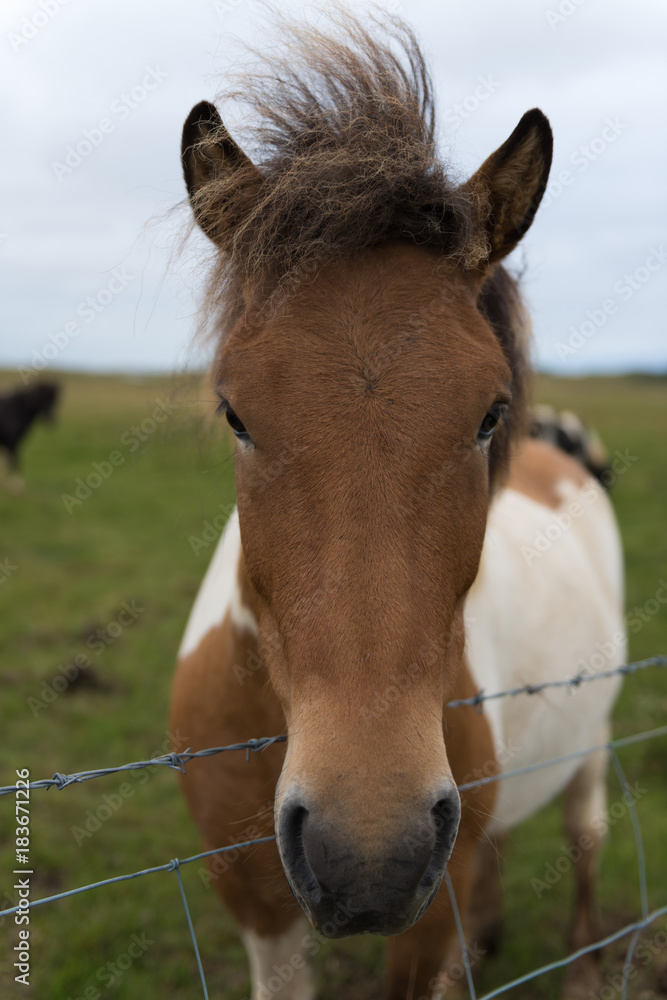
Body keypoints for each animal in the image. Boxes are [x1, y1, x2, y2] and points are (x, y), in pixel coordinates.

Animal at [168, 11, 628, 996]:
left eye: (490, 412)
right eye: (234, 412)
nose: (368, 851)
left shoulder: (424, 917)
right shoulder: (257, 909)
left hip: (589, 746)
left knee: (584, 841)